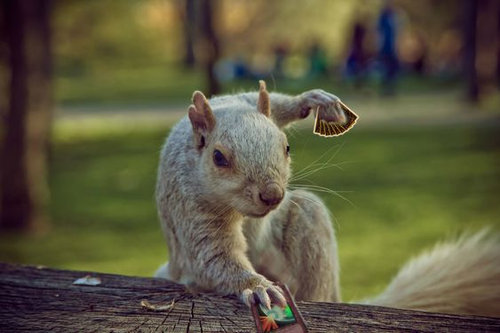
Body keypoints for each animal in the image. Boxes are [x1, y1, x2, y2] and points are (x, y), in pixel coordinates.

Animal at [154, 80, 498, 316]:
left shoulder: (243, 101)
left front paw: (312, 99)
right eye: (219, 158)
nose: (272, 195)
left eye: (287, 147)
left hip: (306, 222)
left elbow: (273, 103)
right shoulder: (192, 207)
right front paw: (256, 287)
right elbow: (214, 255)